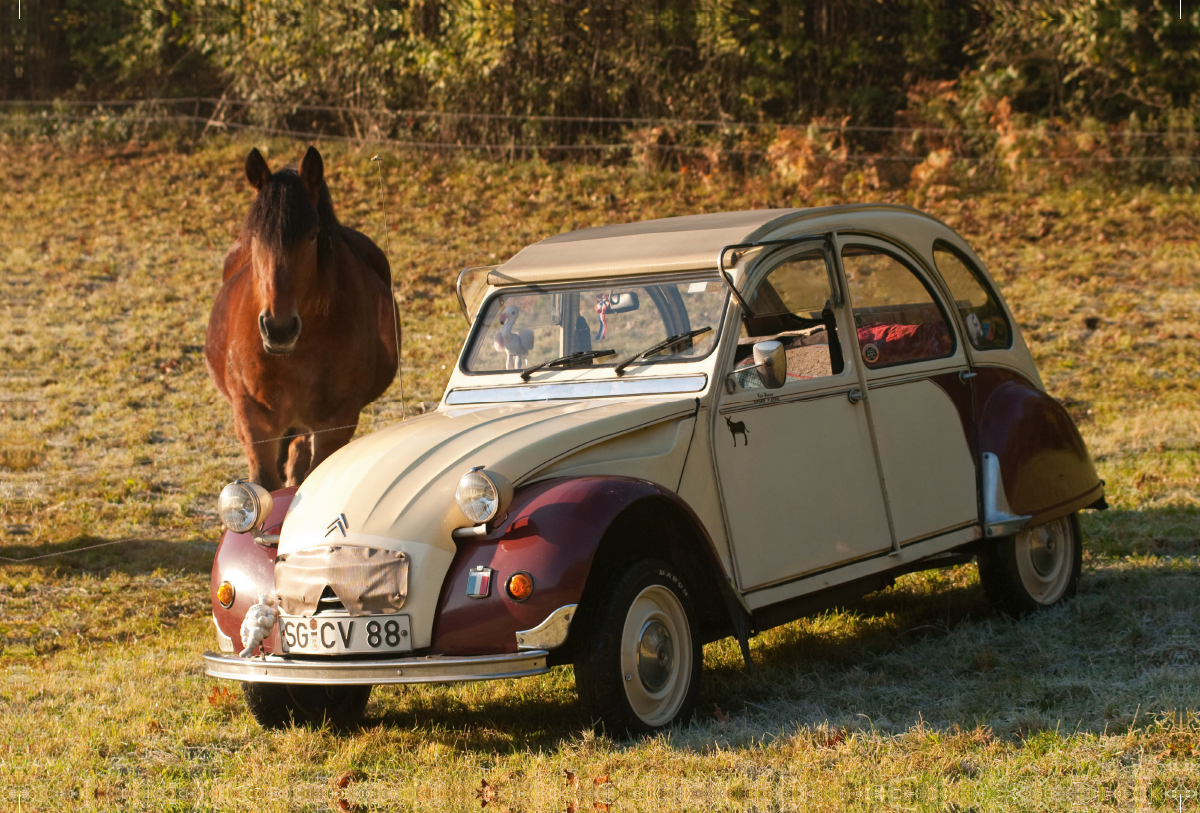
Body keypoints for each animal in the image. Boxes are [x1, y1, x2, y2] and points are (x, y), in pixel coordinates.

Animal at [204, 146, 396, 491]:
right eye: (257, 238)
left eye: (312, 235)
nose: (279, 329)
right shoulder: (253, 420)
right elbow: (265, 483)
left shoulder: (335, 424)